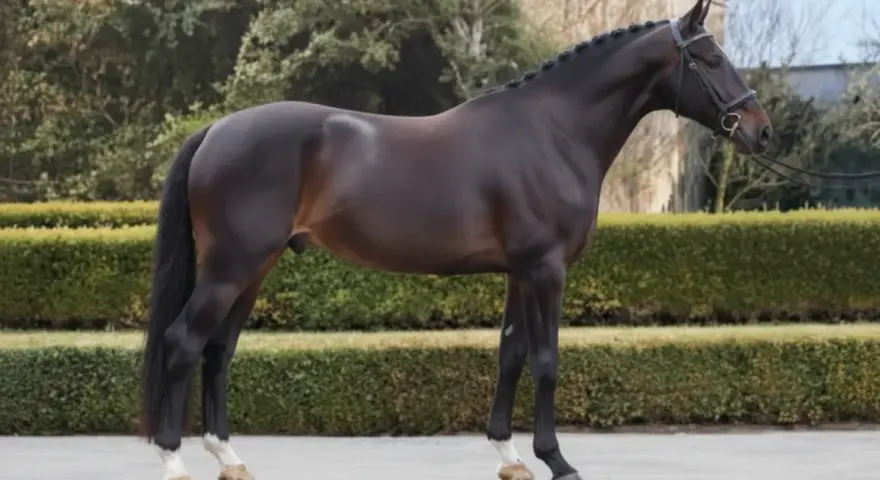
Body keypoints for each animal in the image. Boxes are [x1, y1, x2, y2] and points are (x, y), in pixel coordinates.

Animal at [139, 0, 772, 479]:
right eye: (711, 58)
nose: (761, 131)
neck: (552, 133)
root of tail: (216, 130)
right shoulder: (547, 271)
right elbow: (546, 360)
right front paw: (556, 460)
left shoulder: (520, 272)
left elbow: (511, 355)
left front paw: (510, 455)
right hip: (231, 268)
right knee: (183, 342)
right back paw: (174, 462)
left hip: (252, 268)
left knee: (219, 349)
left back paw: (229, 457)